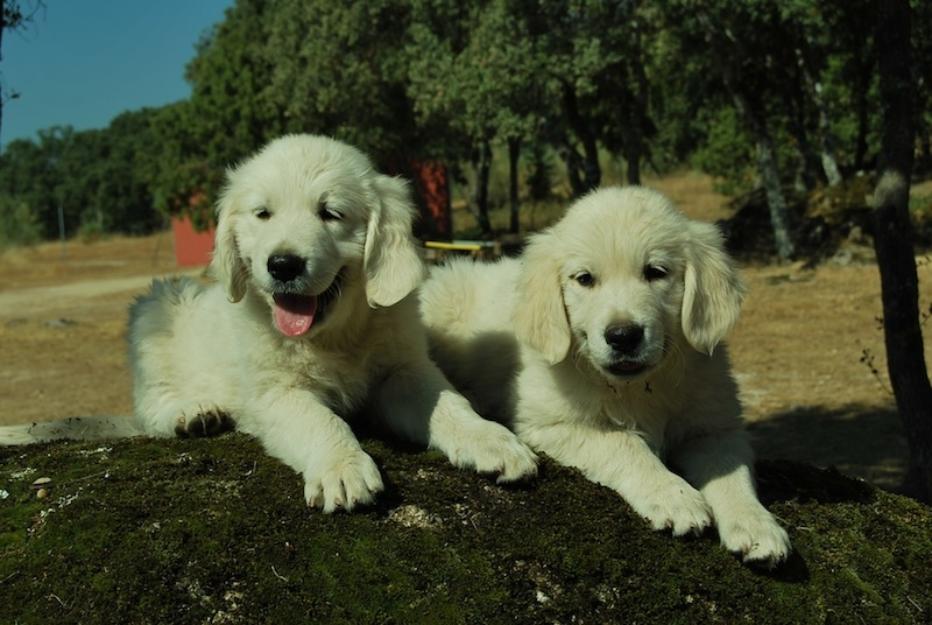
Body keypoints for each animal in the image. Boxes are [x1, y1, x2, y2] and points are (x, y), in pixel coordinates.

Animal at [1, 134, 540, 510]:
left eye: (331, 213)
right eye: (262, 214)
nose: (282, 265)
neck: (333, 335)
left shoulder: (403, 369)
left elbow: (449, 403)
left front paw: (492, 439)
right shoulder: (273, 393)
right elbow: (320, 420)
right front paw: (342, 466)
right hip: (155, 306)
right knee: (148, 402)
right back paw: (192, 412)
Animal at [422, 185, 792, 564]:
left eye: (656, 272)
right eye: (585, 279)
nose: (623, 336)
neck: (636, 387)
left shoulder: (715, 427)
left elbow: (732, 473)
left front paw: (756, 524)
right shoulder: (548, 423)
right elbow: (624, 443)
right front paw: (673, 495)